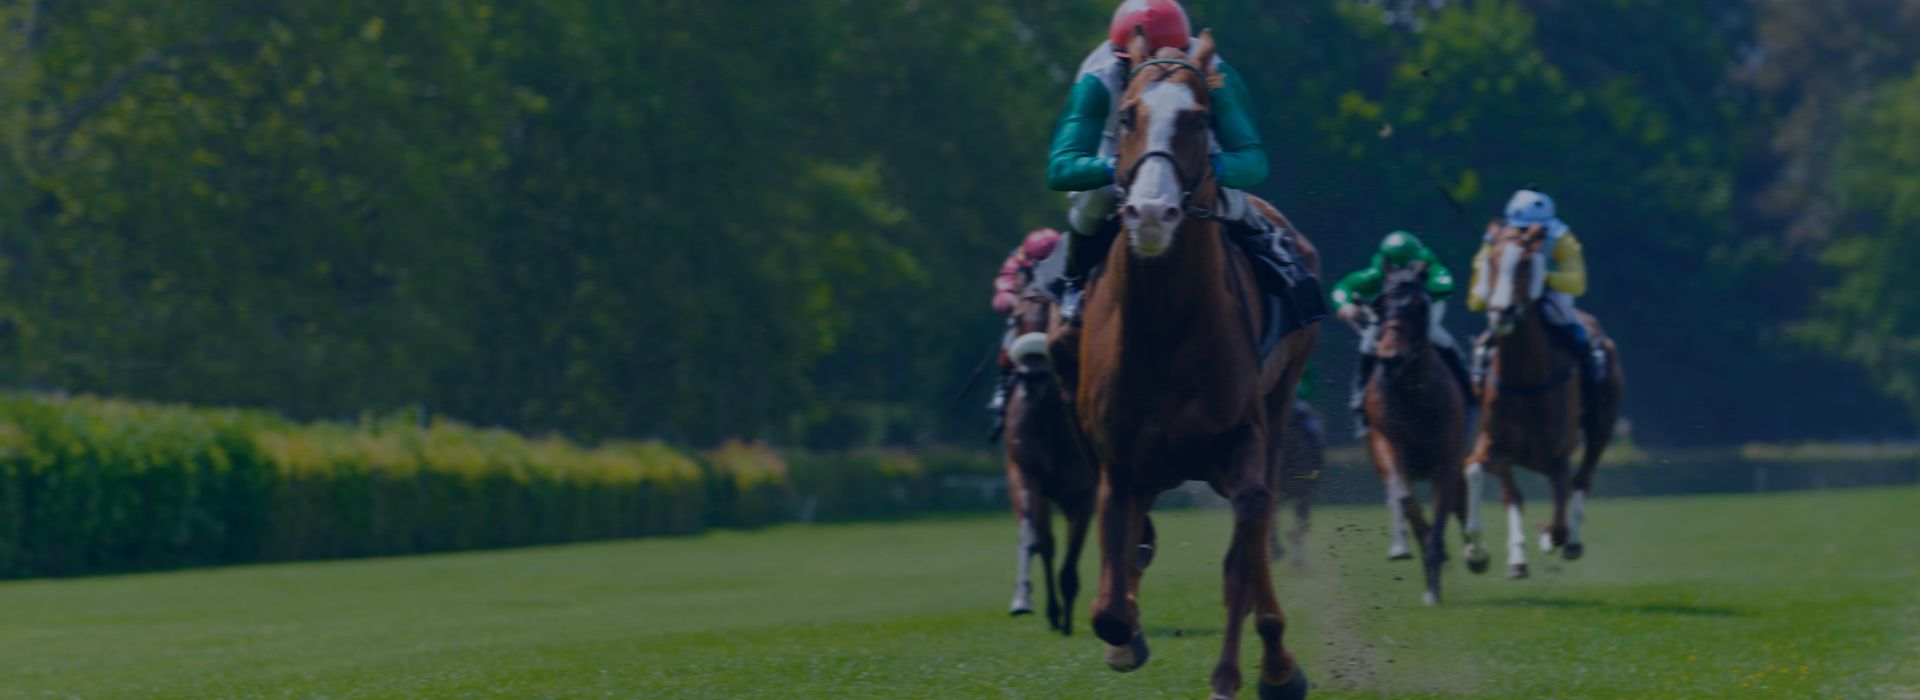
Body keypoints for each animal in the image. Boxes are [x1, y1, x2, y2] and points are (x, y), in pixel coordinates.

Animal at [1000, 265, 1097, 636]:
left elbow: (1073, 558)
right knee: (1046, 543)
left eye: (1053, 315)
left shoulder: (1084, 492)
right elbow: (1035, 541)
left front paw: (1068, 616)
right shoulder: (1025, 473)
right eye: (1015, 316)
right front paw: (1022, 599)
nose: (1033, 376)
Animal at [1072, 30, 1320, 700]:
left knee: (1252, 539)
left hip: (1279, 406)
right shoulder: (1118, 463)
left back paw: (1258, 667)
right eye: (1127, 115)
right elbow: (1109, 607)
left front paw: (1259, 669)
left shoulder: (1242, 440)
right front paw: (1125, 640)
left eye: (1200, 119)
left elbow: (1244, 550)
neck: (1164, 327)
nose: (1152, 215)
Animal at [1359, 262, 1469, 605]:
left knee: (1461, 500)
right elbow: (1404, 497)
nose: (1391, 357)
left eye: (1420, 305)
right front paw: (1404, 549)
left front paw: (1434, 584)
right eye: (1380, 305)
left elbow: (1445, 506)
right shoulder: (1386, 442)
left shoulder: (1446, 460)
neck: (1413, 394)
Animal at [1462, 222, 1625, 579]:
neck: (1524, 379)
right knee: (1512, 494)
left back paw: (1568, 540)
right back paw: (1518, 557)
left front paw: (1551, 536)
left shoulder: (1558, 453)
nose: (1502, 313)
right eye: (1491, 261)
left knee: (1582, 479)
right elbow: (1476, 471)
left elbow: (1560, 517)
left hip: (1602, 423)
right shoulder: (1496, 443)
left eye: (1525, 264)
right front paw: (1476, 552)